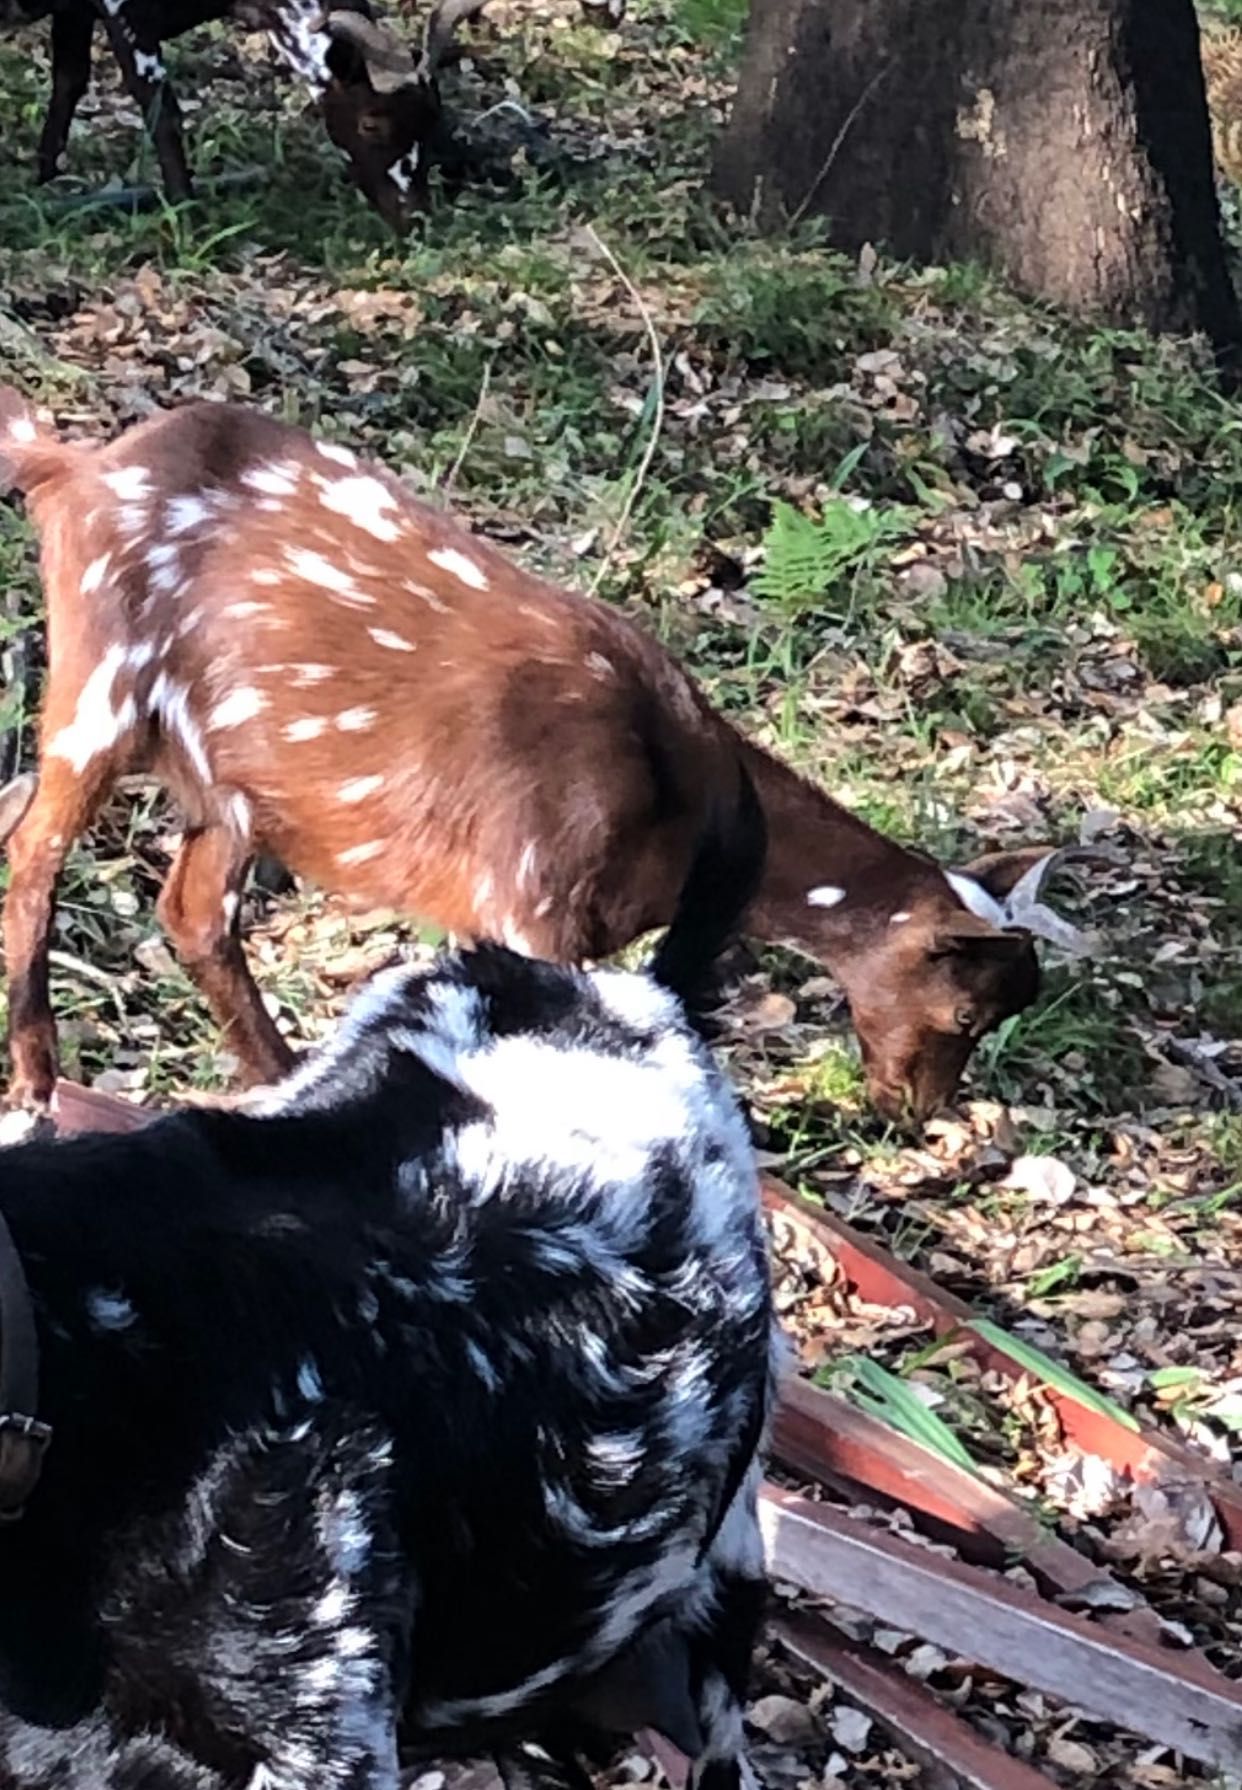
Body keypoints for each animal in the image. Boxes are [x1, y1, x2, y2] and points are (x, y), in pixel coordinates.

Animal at [0, 0, 497, 229]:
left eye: (431, 120)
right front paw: (187, 215)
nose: (416, 218)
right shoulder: (124, 16)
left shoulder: (74, 11)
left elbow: (69, 81)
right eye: (370, 122)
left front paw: (45, 180)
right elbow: (162, 112)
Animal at [0, 392, 1088, 1124]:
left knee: (186, 906)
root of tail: (71, 467)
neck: (698, 821)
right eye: (966, 1013)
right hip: (102, 683)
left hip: (227, 781)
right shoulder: (529, 893)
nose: (918, 1109)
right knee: (34, 849)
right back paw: (38, 1074)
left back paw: (279, 1077)